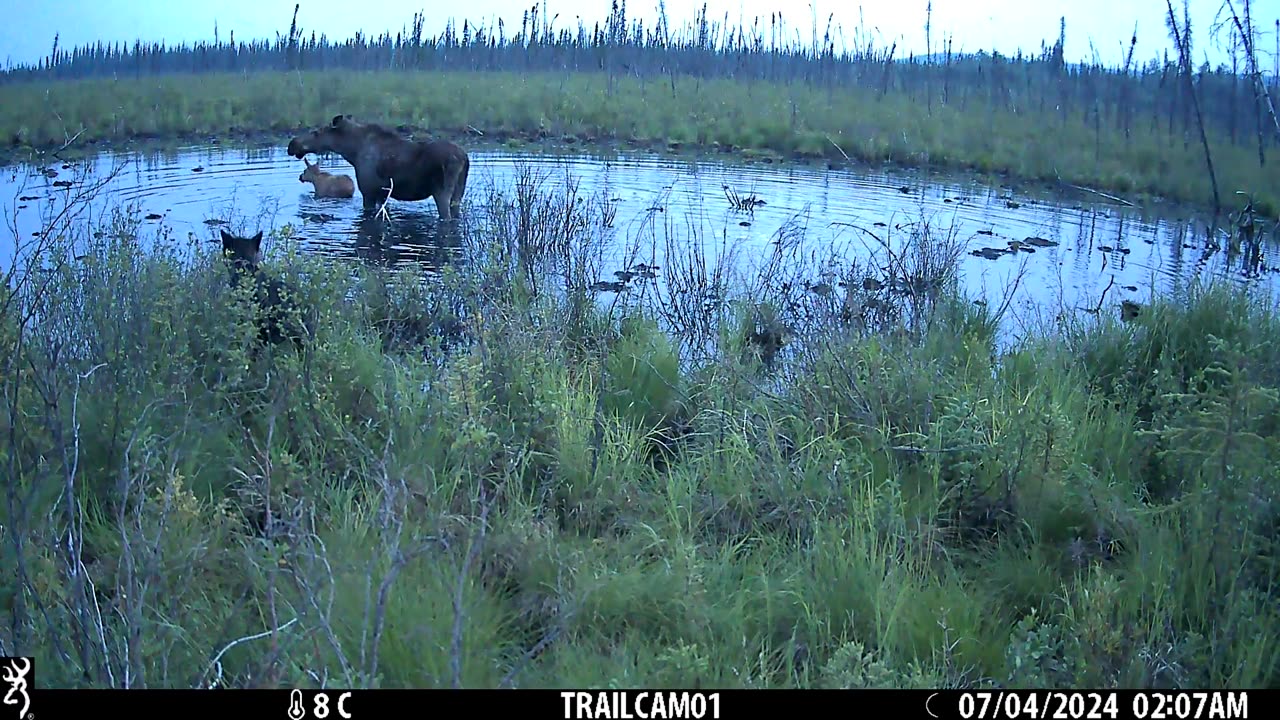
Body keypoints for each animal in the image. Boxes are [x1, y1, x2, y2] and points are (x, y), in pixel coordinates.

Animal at [285, 112, 471, 217]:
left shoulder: (368, 192)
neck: (351, 150)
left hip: (441, 192)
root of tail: (464, 157)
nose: (292, 144)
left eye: (316, 132)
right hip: (458, 193)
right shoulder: (381, 195)